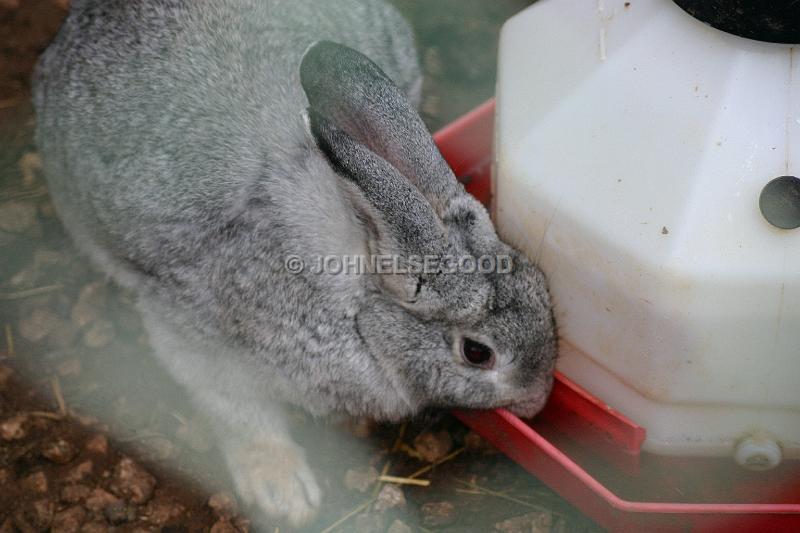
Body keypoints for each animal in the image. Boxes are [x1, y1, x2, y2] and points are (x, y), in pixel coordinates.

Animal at [32, 0, 556, 524]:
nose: (538, 398)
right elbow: (239, 414)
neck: (358, 308)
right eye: (477, 353)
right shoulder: (197, 339)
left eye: (539, 286)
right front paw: (285, 493)